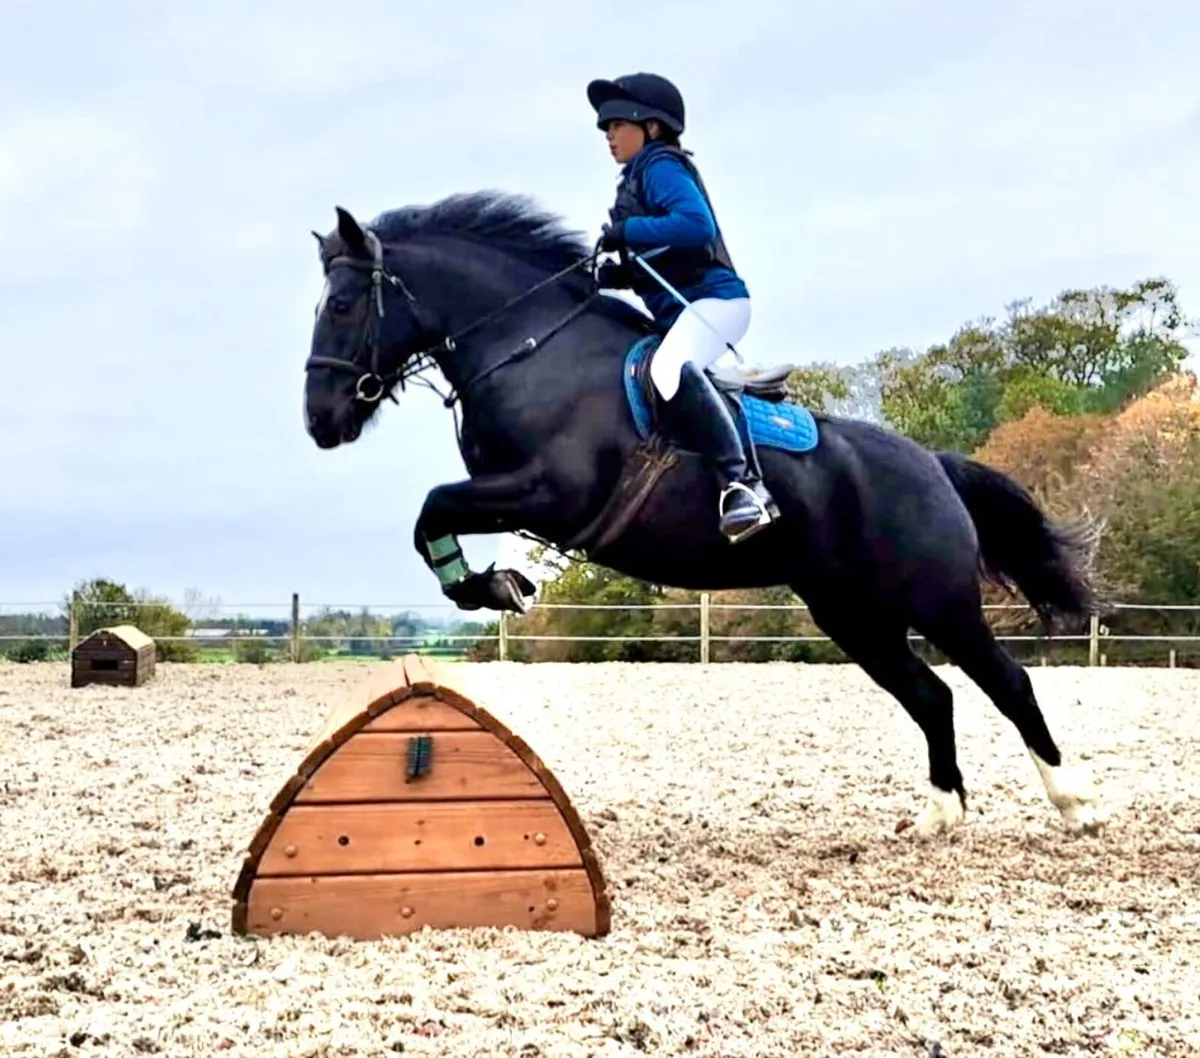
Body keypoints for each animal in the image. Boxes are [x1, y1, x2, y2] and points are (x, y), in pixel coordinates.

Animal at [302, 191, 1107, 838]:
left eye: (341, 307)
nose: (321, 420)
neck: (526, 347)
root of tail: (933, 464)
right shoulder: (513, 492)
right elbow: (433, 517)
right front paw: (491, 585)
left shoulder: (550, 493)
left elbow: (431, 506)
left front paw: (491, 585)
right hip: (852, 613)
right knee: (930, 695)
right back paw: (940, 815)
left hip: (938, 602)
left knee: (1007, 683)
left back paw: (1075, 804)